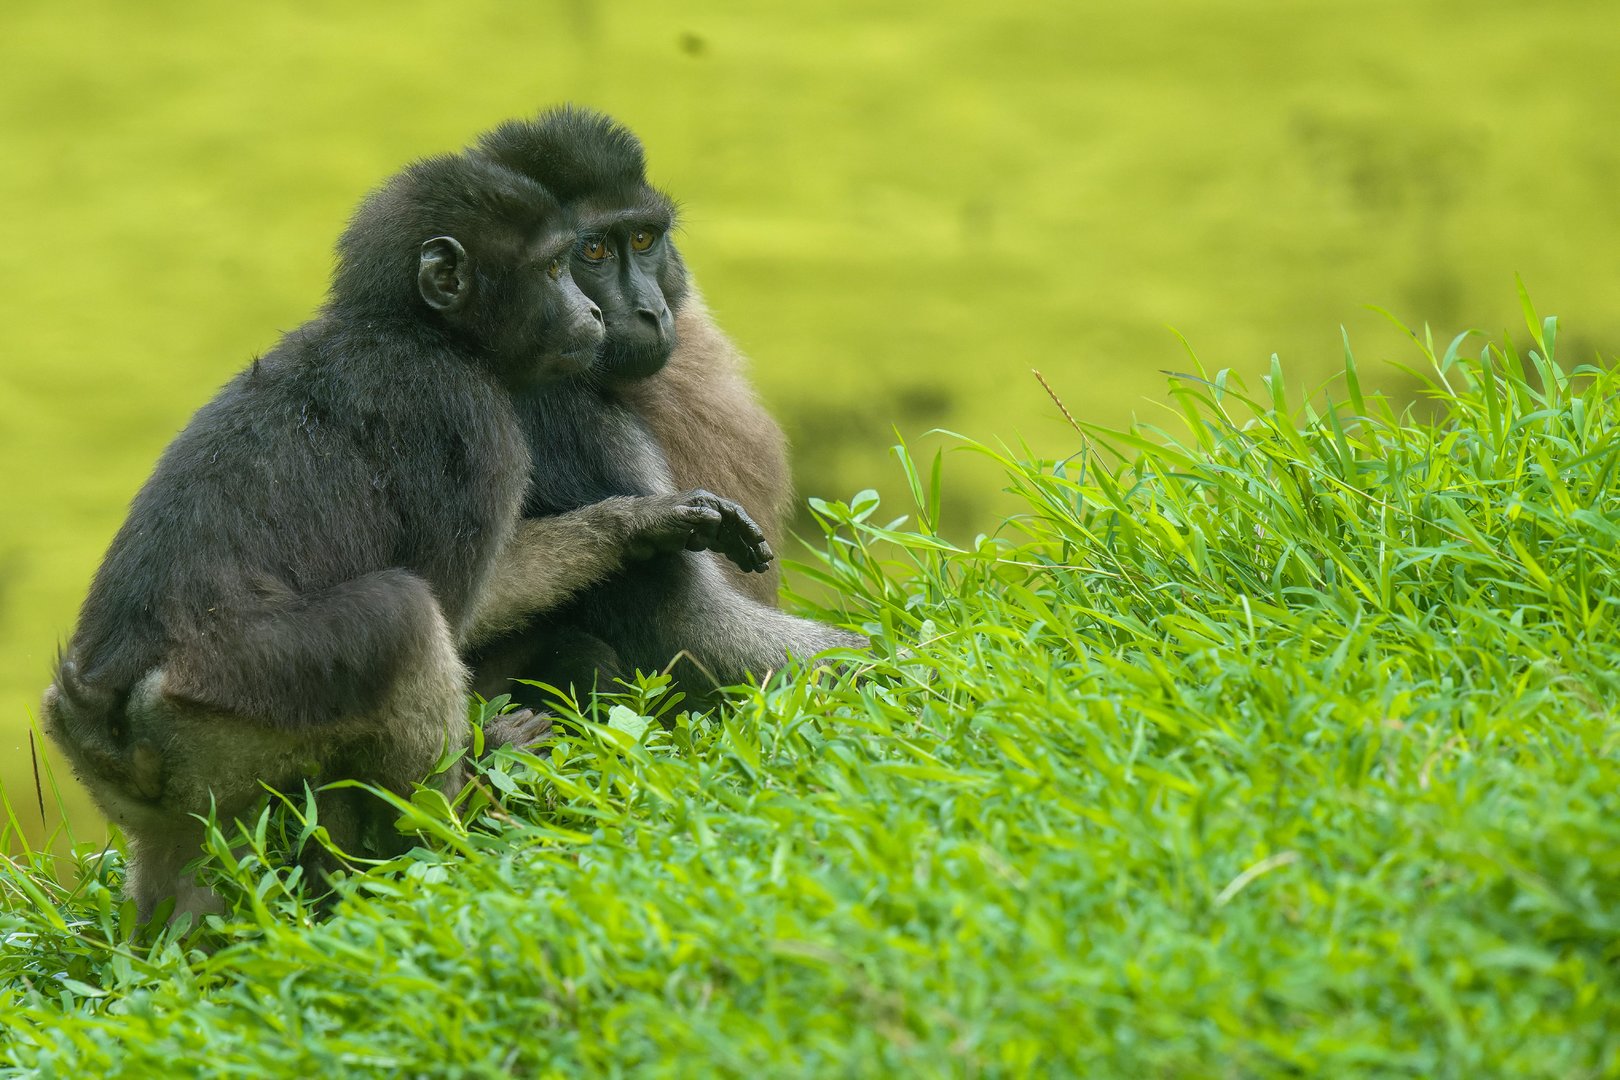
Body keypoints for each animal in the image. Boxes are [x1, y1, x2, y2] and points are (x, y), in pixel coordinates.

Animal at [40, 150, 775, 923]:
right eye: (558, 268)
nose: (597, 312)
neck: (414, 328)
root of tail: (107, 719)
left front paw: (640, 525)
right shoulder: (472, 416)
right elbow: (452, 605)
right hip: (225, 695)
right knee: (402, 615)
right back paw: (439, 827)